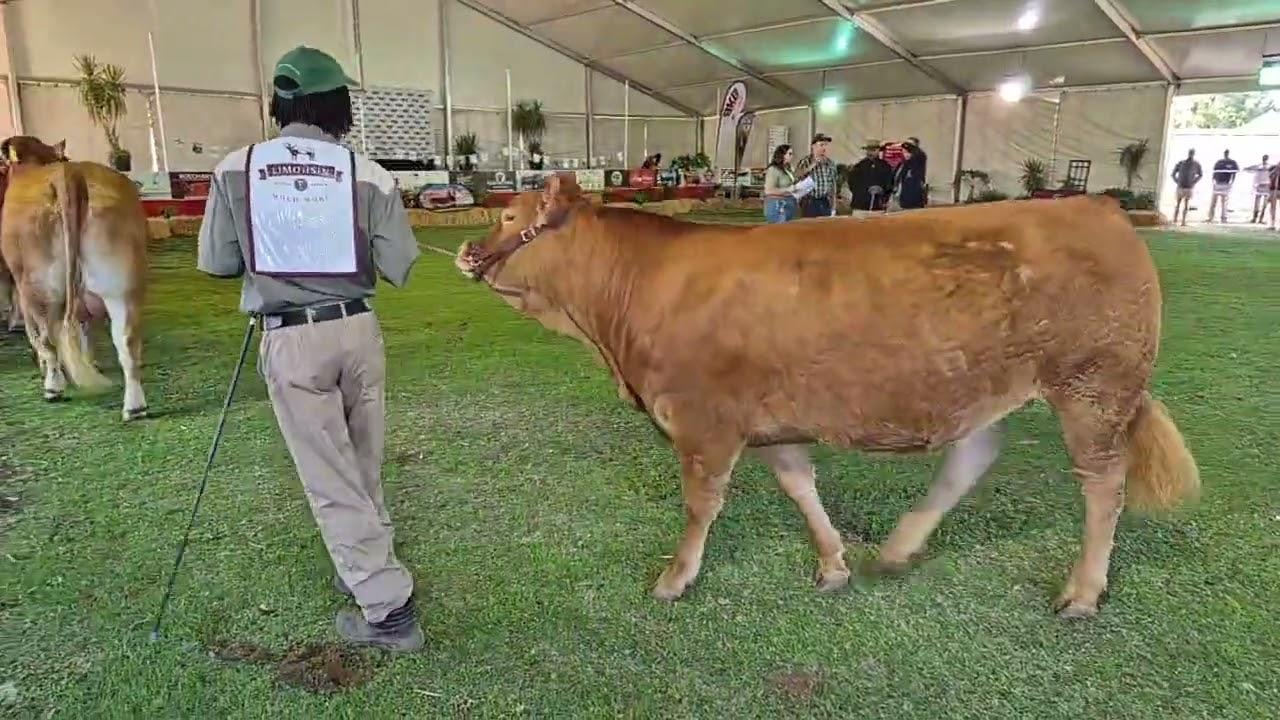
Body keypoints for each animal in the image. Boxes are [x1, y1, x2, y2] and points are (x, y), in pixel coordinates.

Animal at [0, 138, 150, 421]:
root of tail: (71, 174)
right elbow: (85, 332)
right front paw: (91, 362)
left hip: (39, 287)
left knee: (48, 338)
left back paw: (53, 388)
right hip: (121, 285)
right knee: (126, 339)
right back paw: (135, 407)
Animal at [454, 174, 1200, 620]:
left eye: (511, 215)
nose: (464, 252)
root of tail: (1094, 203)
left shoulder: (703, 421)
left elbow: (701, 506)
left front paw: (674, 579)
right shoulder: (770, 423)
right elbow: (800, 487)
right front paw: (834, 563)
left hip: (1094, 386)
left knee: (1104, 487)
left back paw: (1082, 592)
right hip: (998, 386)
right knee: (972, 457)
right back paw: (898, 548)